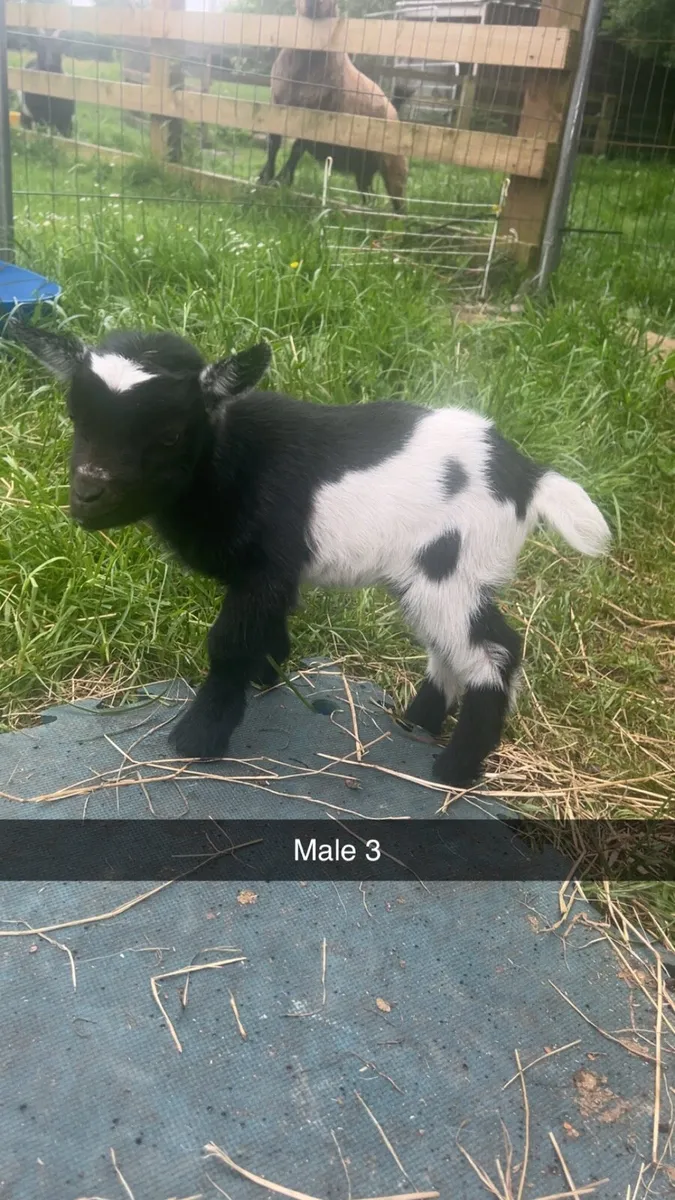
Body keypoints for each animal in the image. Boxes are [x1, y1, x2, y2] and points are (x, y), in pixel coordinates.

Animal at [9, 322, 611, 788]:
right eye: (76, 418)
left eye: (172, 434)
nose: (87, 497)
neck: (231, 459)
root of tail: (526, 474)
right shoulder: (274, 574)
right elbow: (266, 628)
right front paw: (267, 673)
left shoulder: (265, 567)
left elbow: (227, 643)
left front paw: (199, 738)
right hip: (429, 578)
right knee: (448, 644)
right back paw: (419, 720)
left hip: (451, 566)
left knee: (494, 651)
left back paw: (455, 769)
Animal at [258, 0, 408, 212]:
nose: (314, 4)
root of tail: (395, 111)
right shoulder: (277, 104)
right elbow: (273, 144)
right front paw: (265, 177)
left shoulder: (316, 115)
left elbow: (296, 149)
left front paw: (281, 180)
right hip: (364, 169)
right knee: (369, 195)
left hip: (393, 165)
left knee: (399, 202)